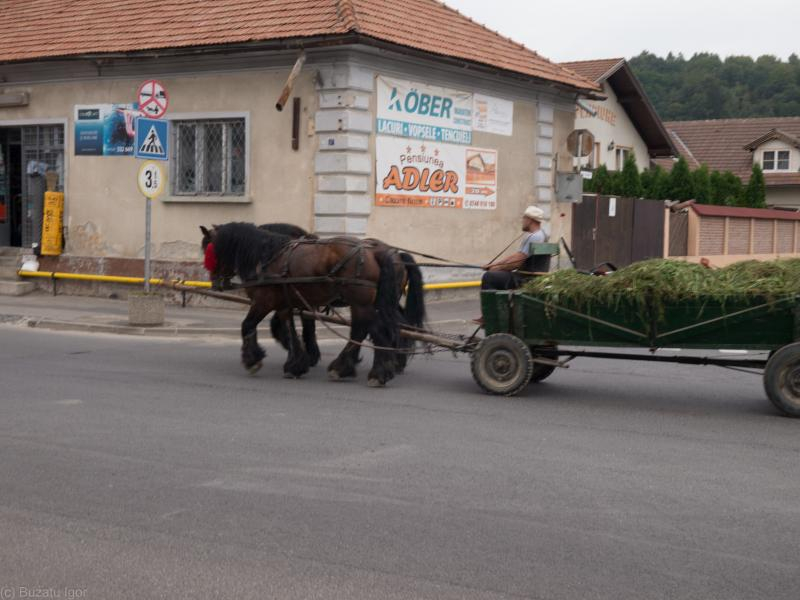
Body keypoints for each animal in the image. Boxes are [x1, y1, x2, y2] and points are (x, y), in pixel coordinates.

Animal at [200, 223, 424, 386]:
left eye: (209, 251)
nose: (215, 283)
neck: (267, 256)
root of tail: (383, 253)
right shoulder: (286, 305)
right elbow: (289, 330)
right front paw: (296, 364)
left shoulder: (264, 302)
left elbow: (247, 325)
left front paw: (252, 360)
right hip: (373, 303)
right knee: (374, 329)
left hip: (361, 303)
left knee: (373, 330)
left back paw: (375, 372)